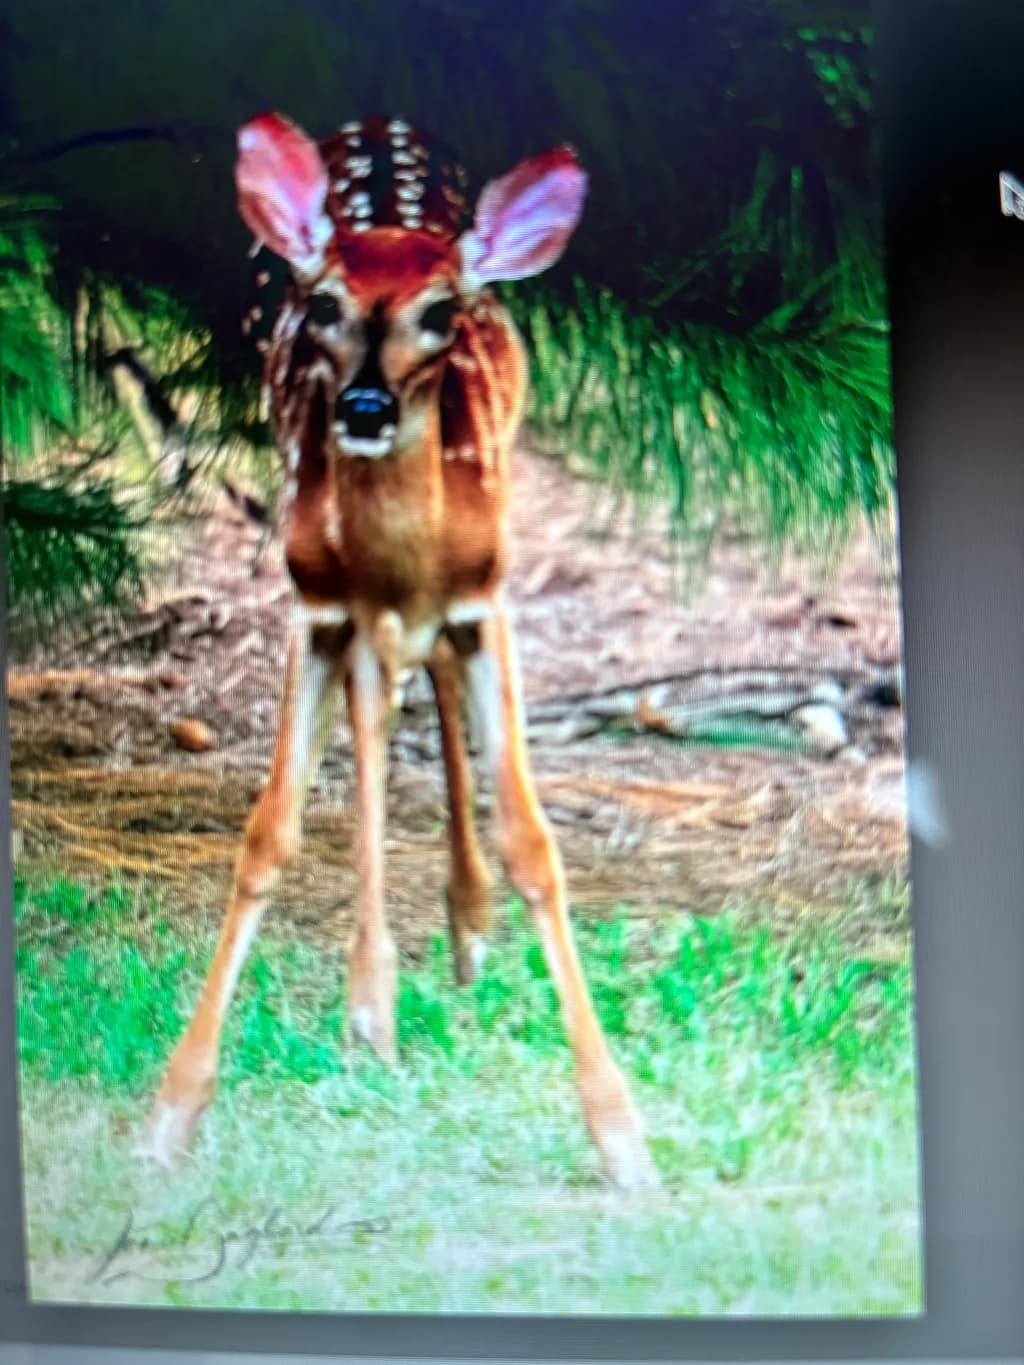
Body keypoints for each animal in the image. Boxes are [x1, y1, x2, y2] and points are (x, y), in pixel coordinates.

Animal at [141, 112, 657, 1190]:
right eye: (325, 302)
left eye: (439, 311)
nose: (368, 410)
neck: (401, 555)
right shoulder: (320, 605)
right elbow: (270, 833)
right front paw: (171, 1114)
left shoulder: (483, 599)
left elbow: (532, 841)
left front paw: (623, 1137)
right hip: (358, 617)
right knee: (380, 722)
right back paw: (376, 1006)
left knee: (430, 702)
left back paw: (466, 933)